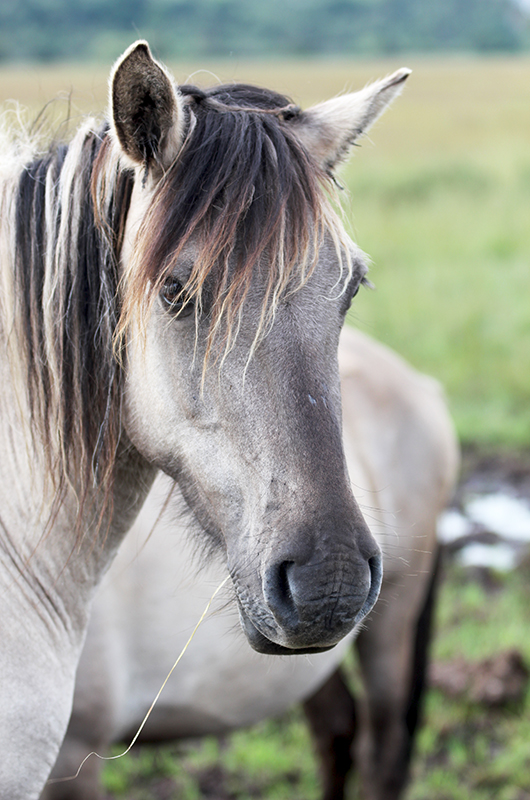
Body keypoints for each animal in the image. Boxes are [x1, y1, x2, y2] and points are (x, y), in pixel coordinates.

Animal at [46, 324, 458, 800]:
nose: (328, 581)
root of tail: (422, 386)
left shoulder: (76, 752)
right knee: (336, 727)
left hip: (392, 621)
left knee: (382, 751)